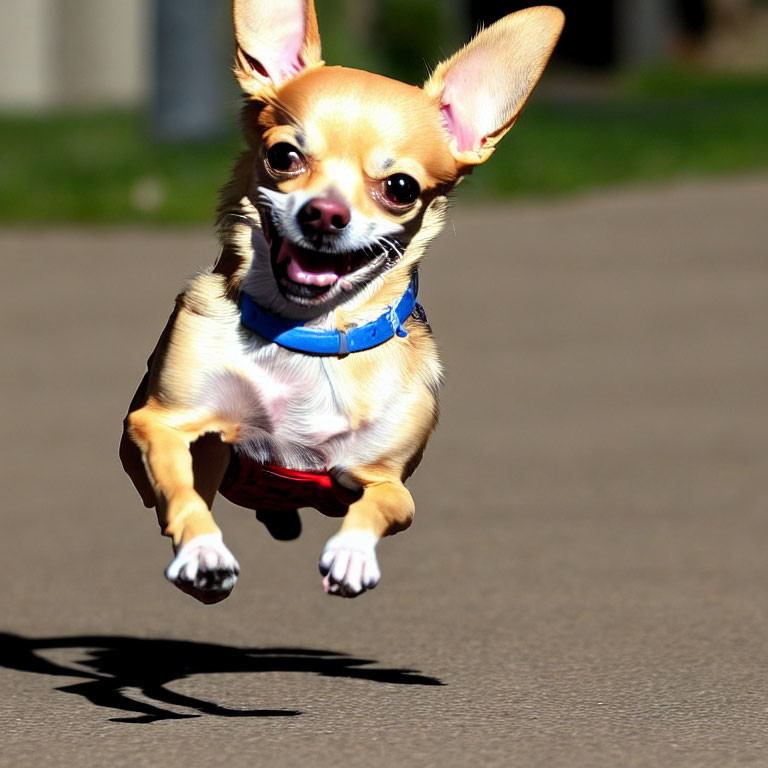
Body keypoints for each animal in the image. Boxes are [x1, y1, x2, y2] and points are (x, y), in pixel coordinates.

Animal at [121, 0, 564, 608]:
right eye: (283, 156)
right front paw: (204, 552)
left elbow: (377, 506)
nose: (325, 213)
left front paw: (352, 554)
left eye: (400, 188)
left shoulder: (387, 480)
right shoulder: (159, 423)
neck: (304, 334)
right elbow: (179, 486)